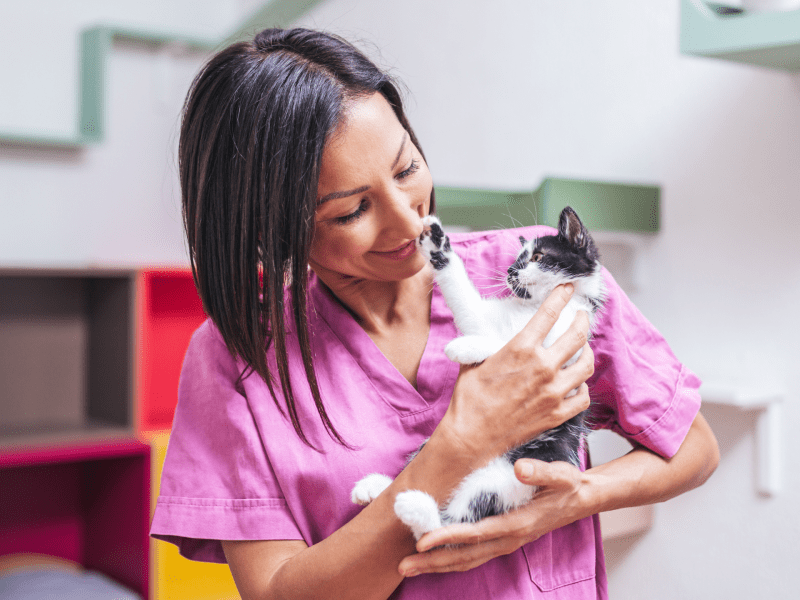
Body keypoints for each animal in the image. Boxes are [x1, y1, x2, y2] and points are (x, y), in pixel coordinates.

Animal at [352, 206, 608, 540]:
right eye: (516, 259)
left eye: (538, 256)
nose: (510, 271)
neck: (535, 308)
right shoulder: (489, 319)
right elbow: (471, 311)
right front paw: (436, 243)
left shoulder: (566, 346)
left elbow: (509, 345)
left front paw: (466, 346)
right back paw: (376, 488)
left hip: (515, 474)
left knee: (451, 523)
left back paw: (413, 507)